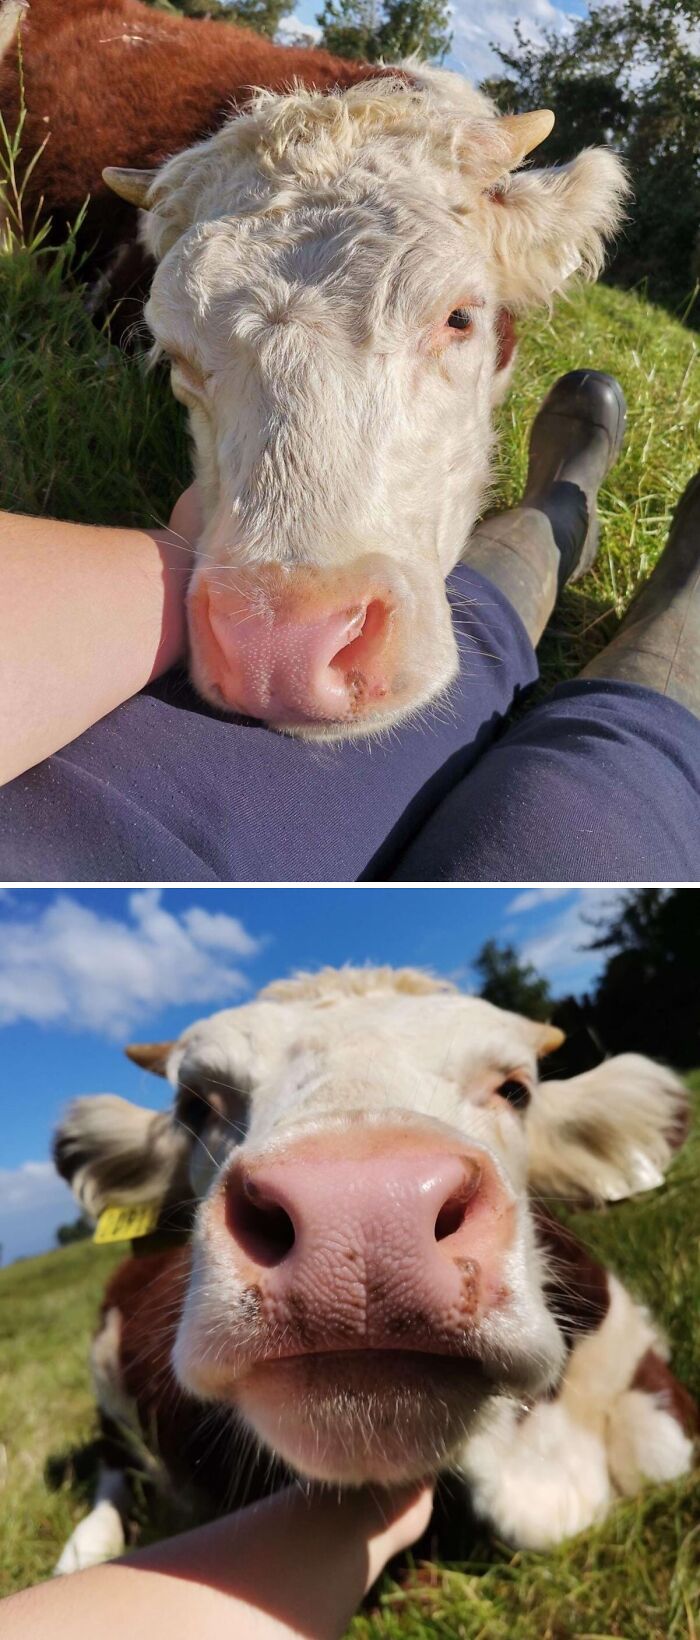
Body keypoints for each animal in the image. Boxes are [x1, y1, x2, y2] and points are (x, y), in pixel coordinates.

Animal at [52, 967, 695, 1573]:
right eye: (195, 1105)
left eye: (515, 1090)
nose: (361, 1210)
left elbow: (664, 1452)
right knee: (112, 1465)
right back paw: (85, 1550)